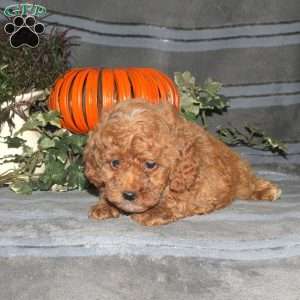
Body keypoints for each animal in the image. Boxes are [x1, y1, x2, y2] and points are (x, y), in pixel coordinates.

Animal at [82, 99, 282, 226]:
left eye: (150, 165)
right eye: (115, 163)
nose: (129, 195)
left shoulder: (199, 186)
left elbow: (178, 199)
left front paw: (154, 212)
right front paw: (105, 205)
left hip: (240, 174)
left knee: (248, 184)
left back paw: (266, 190)